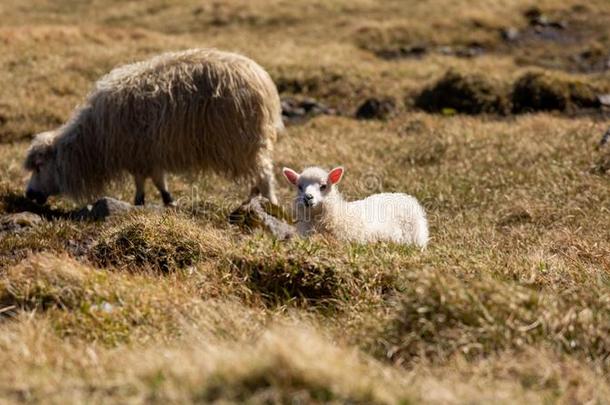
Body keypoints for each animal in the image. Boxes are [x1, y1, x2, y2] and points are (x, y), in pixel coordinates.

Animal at [23, 49, 280, 207]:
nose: (29, 194)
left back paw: (269, 202)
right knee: (258, 172)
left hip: (243, 141)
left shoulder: (139, 152)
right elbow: (156, 179)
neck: (93, 138)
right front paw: (165, 200)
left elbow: (144, 179)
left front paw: (142, 202)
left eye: (39, 166)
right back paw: (253, 198)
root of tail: (261, 77)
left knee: (265, 172)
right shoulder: (150, 151)